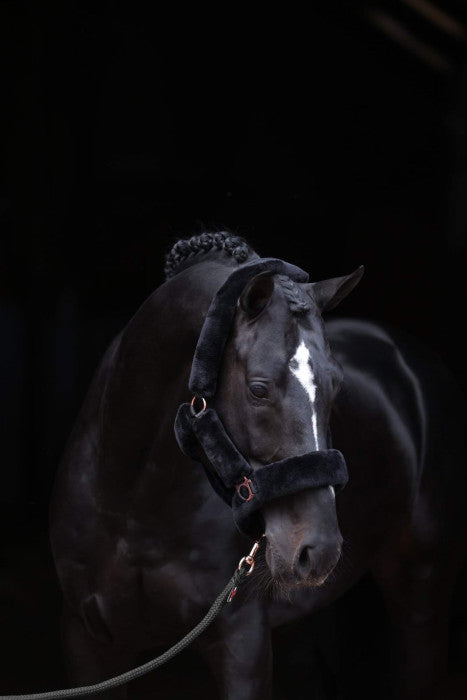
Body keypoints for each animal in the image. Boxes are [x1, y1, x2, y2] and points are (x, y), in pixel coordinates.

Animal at [49, 232, 467, 699]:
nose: (318, 550)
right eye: (258, 389)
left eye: (337, 386)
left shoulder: (240, 641)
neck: (131, 507)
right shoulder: (87, 642)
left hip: (422, 593)